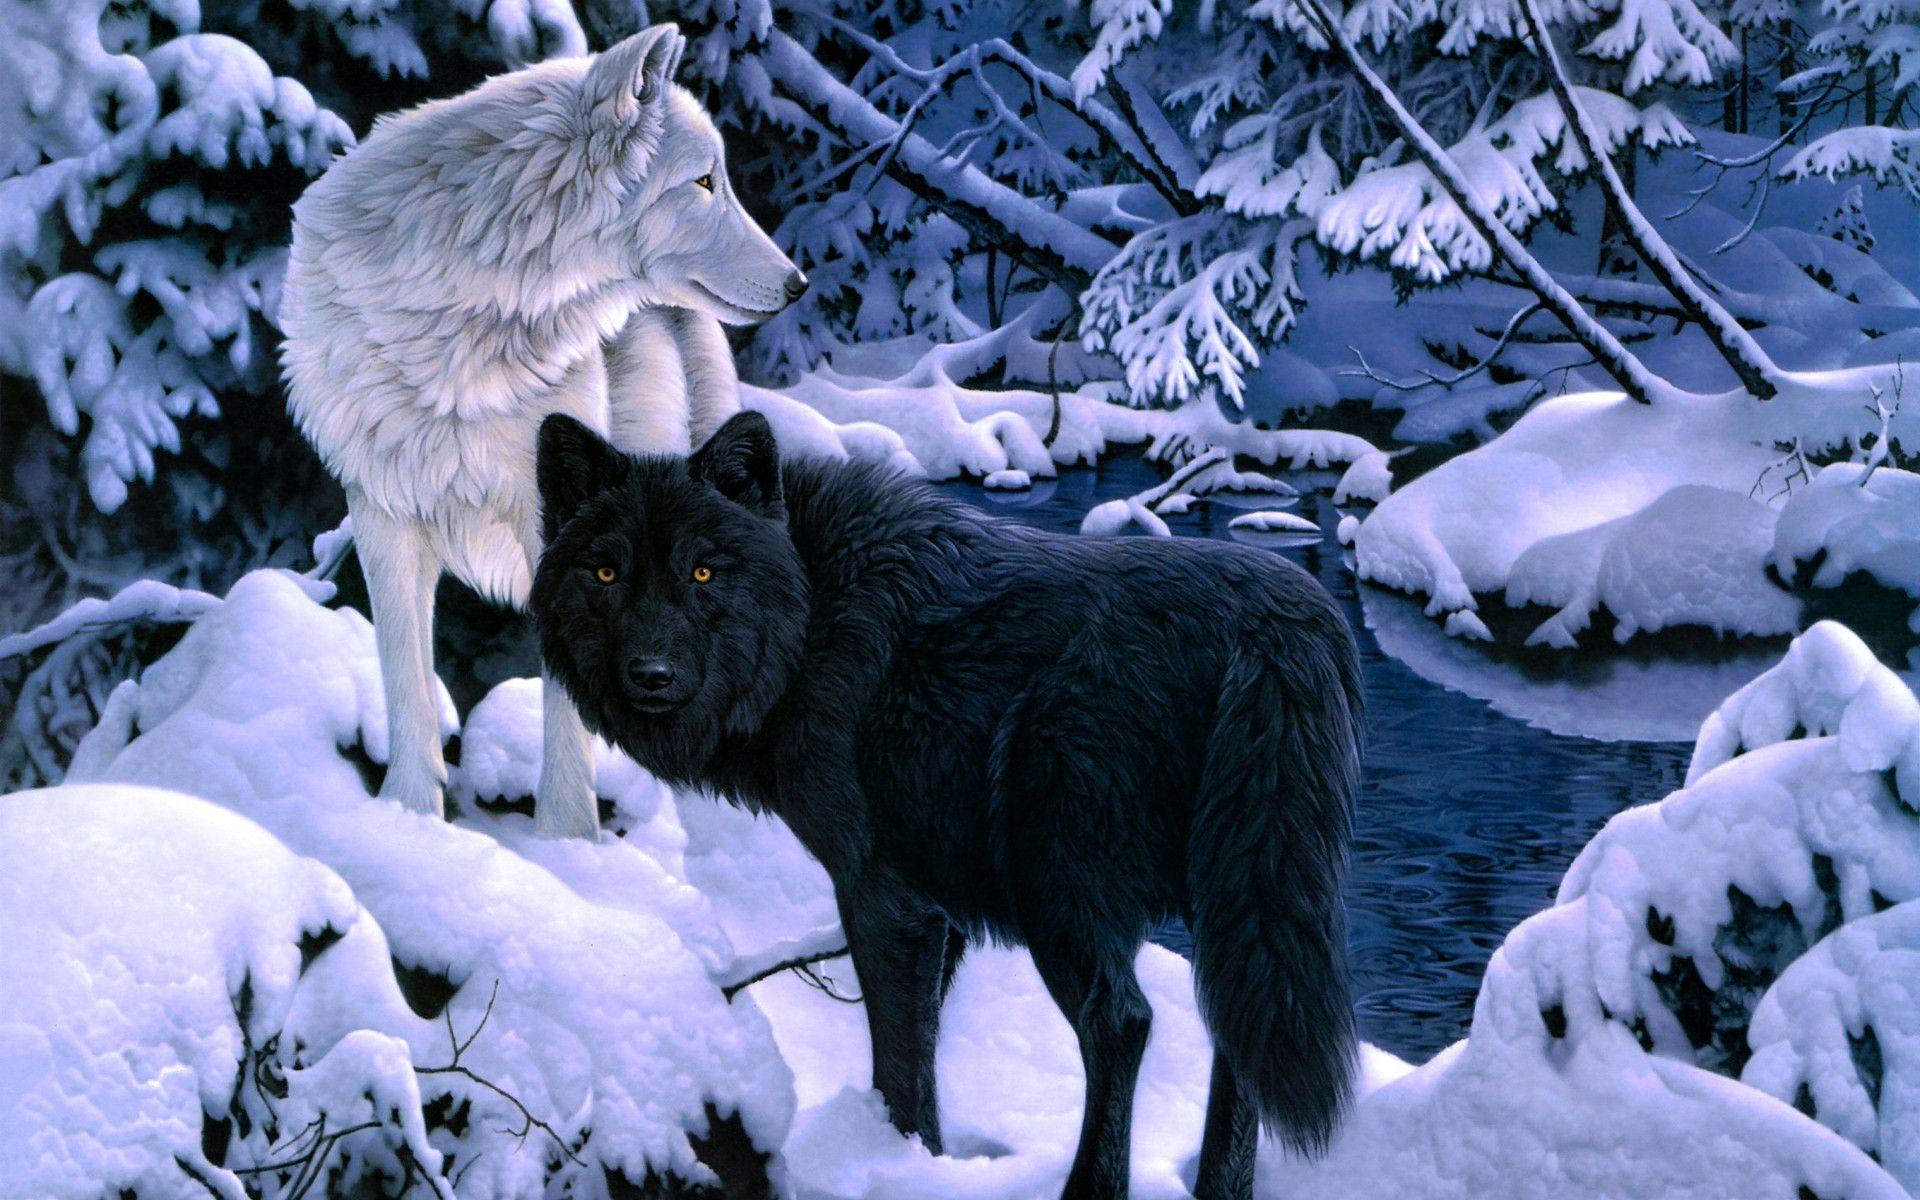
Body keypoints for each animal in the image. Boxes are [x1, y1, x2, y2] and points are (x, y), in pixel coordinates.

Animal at [279, 24, 802, 838]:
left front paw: (566, 841)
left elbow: (567, 703)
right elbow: (406, 680)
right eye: (704, 182)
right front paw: (406, 822)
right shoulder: (382, 514)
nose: (797, 282)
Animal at [530, 412, 1365, 1200]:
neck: (812, 616)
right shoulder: (940, 906)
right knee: (1235, 1030)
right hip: (1237, 901)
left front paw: (894, 1165)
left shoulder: (879, 890)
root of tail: (1274, 625)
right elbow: (925, 1044)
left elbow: (901, 1062)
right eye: (606, 572)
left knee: (1123, 1023)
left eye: (703, 572)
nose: (652, 675)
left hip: (1059, 891)